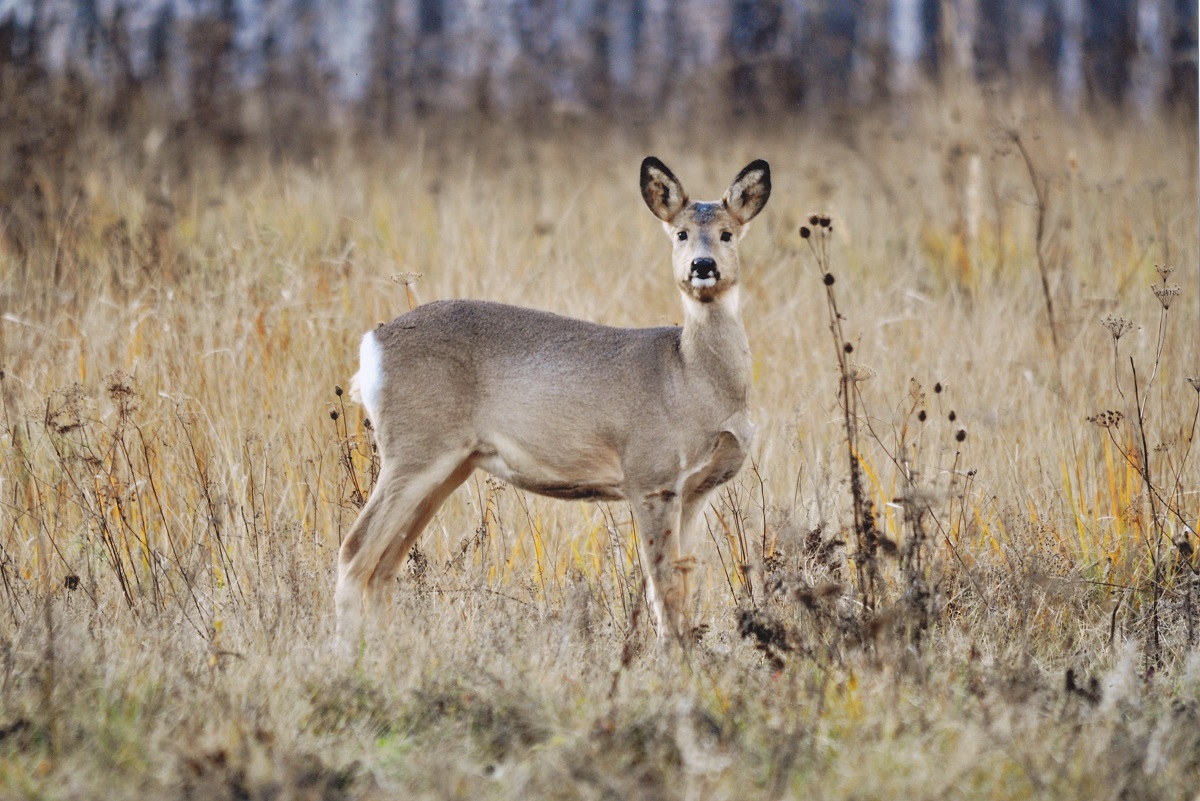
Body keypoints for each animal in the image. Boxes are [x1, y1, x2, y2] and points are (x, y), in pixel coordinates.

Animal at [336, 154, 768, 642]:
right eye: (681, 232)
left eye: (727, 232)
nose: (702, 264)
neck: (690, 377)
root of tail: (372, 345)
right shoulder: (650, 476)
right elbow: (665, 588)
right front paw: (670, 654)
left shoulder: (694, 492)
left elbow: (683, 580)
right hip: (415, 448)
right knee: (354, 551)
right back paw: (348, 651)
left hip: (449, 465)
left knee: (383, 564)